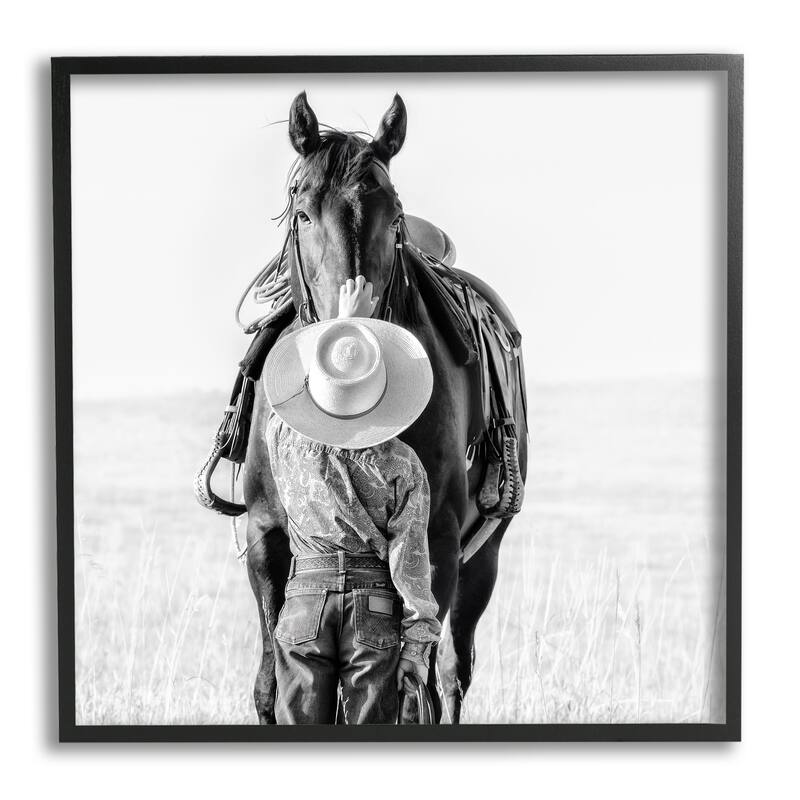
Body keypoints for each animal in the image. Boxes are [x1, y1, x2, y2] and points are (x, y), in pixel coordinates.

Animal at [243, 91, 528, 723]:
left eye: (393, 216)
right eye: (302, 213)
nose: (351, 341)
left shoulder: (437, 542)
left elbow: (414, 687)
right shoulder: (265, 534)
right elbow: (272, 685)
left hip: (482, 558)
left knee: (450, 676)